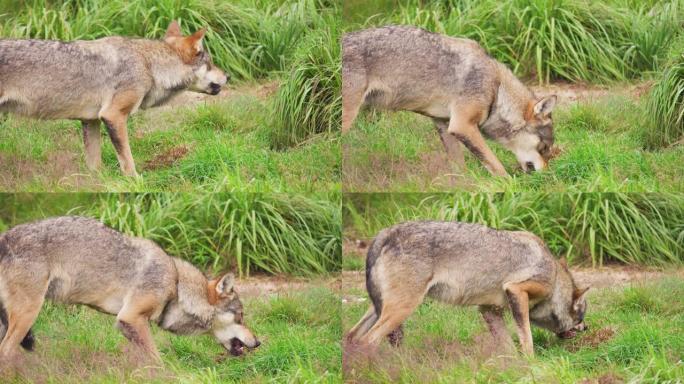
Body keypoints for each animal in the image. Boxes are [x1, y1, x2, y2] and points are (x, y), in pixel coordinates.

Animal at [0, 21, 230, 177]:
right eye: (210, 63)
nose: (228, 76)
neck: (148, 64)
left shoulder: (90, 120)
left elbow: (95, 166)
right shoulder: (113, 116)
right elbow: (128, 162)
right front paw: (136, 183)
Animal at [0, 216, 256, 364]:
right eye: (241, 317)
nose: (259, 342)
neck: (176, 286)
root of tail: (5, 238)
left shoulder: (132, 324)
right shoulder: (130, 318)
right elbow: (157, 359)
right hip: (27, 316)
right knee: (6, 351)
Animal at [342, 26, 556, 176]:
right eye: (544, 148)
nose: (547, 176)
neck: (496, 89)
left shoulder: (445, 125)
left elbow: (460, 168)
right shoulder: (462, 126)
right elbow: (497, 167)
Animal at [348, 220, 588, 356]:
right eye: (581, 316)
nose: (587, 328)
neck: (554, 278)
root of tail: (384, 234)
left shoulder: (488, 310)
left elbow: (508, 346)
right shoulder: (516, 291)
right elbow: (526, 340)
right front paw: (531, 365)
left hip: (380, 309)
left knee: (351, 336)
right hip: (402, 310)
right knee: (367, 341)